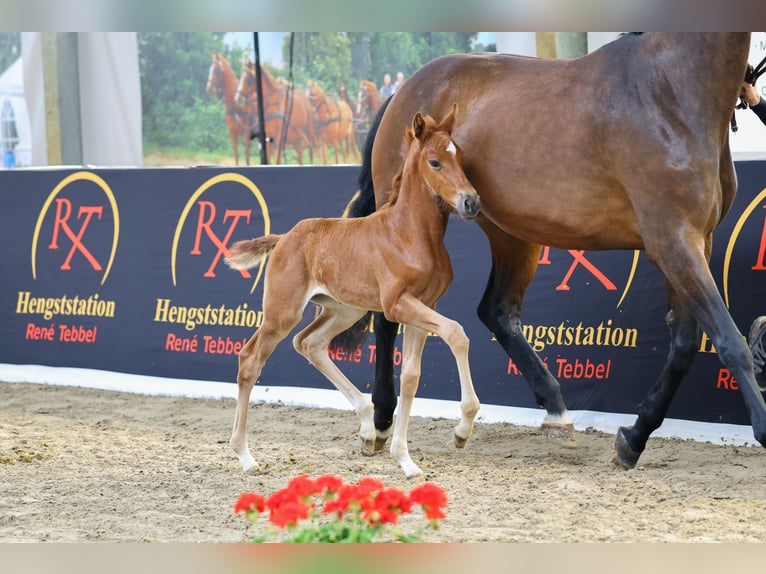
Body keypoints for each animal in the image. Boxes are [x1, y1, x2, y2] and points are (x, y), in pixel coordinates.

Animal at [224, 105, 481, 479]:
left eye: (460, 156)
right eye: (435, 162)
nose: (471, 202)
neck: (410, 235)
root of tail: (284, 237)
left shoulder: (424, 305)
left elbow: (411, 376)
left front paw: (406, 460)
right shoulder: (397, 305)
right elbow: (457, 334)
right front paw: (462, 430)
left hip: (344, 310)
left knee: (309, 343)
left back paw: (367, 427)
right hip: (282, 312)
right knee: (250, 360)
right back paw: (245, 456)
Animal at [343, 33, 766, 469]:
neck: (669, 91)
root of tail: (403, 94)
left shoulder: (694, 241)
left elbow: (684, 347)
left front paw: (633, 438)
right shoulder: (673, 240)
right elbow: (729, 341)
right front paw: (763, 428)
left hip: (512, 234)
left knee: (497, 312)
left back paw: (556, 411)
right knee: (388, 317)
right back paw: (380, 420)